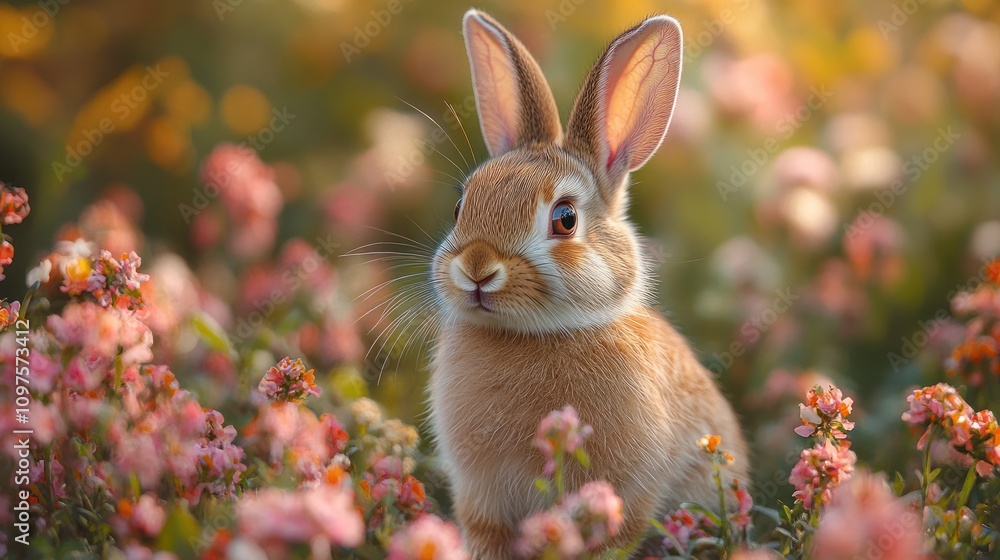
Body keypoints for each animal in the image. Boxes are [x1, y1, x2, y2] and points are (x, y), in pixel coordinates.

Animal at [427, 9, 749, 559]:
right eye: (459, 206)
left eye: (565, 218)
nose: (476, 268)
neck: (535, 336)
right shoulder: (482, 500)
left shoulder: (625, 494)